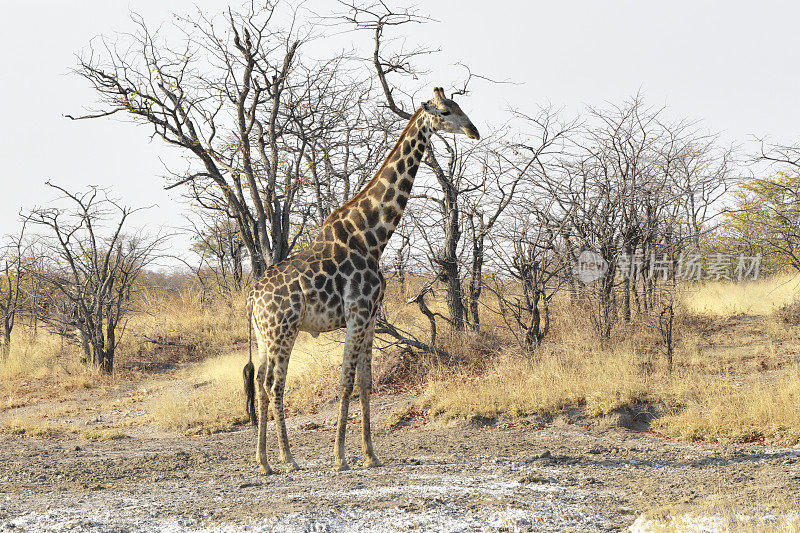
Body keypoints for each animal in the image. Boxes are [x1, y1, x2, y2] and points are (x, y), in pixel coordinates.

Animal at [244, 87, 482, 474]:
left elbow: (366, 383)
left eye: (459, 106)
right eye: (446, 111)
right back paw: (288, 459)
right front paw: (340, 457)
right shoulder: (356, 314)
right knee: (273, 385)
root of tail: (252, 297)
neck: (371, 237)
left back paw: (264, 461)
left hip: (264, 335)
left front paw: (371, 454)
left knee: (262, 386)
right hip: (283, 330)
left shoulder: (370, 317)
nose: (474, 130)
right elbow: (345, 383)